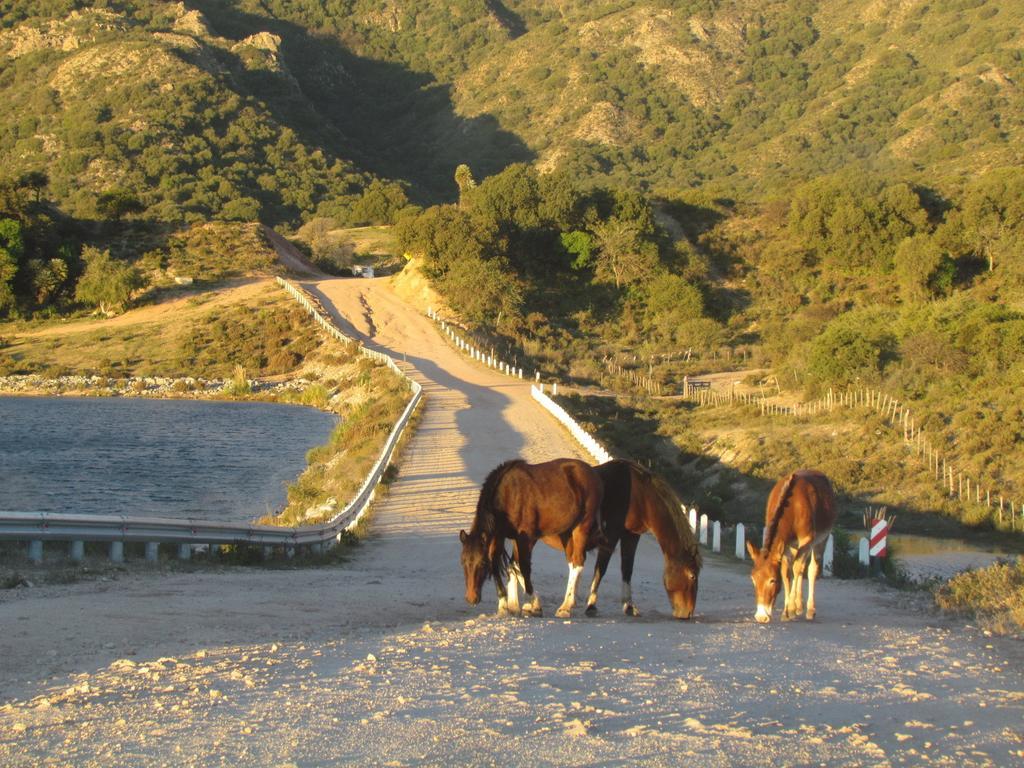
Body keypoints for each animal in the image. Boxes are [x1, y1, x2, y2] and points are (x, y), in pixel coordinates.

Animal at [460, 456, 602, 618]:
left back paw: (565, 607)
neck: (508, 494)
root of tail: (592, 473)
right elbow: (507, 565)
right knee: (572, 562)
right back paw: (570, 602)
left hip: (581, 527)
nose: (471, 598)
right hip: (567, 533)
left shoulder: (527, 538)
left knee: (578, 561)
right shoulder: (502, 536)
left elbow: (523, 567)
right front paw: (508, 606)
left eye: (482, 564)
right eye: (463, 562)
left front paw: (534, 604)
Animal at [585, 462, 704, 618]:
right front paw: (591, 605)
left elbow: (627, 568)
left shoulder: (631, 535)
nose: (688, 613)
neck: (640, 496)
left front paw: (629, 606)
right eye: (692, 576)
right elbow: (601, 568)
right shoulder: (611, 534)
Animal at [749, 468, 835, 626]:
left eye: (772, 580)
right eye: (753, 579)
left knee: (811, 569)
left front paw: (792, 608)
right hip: (795, 546)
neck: (793, 508)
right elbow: (786, 573)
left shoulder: (807, 539)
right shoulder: (786, 545)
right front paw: (786, 612)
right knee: (798, 567)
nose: (761, 617)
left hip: (822, 539)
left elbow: (796, 569)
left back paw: (809, 610)